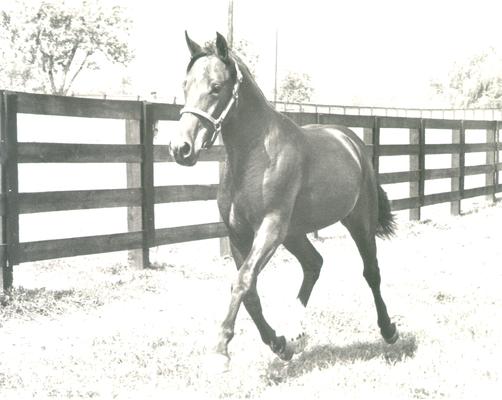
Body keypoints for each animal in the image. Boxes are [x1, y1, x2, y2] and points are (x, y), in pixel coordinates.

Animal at [171, 32, 398, 372]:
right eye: (185, 85)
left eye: (216, 87)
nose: (181, 149)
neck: (255, 156)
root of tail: (351, 141)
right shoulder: (238, 234)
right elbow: (249, 291)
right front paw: (279, 345)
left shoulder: (270, 228)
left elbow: (243, 281)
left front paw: (220, 351)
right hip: (295, 233)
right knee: (314, 264)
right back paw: (295, 332)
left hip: (357, 221)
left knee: (371, 272)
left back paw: (388, 330)